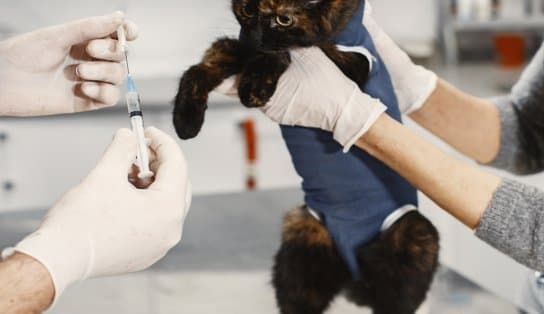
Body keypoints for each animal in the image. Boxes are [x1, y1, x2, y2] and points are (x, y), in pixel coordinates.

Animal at [172, 0, 440, 314]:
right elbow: (204, 63)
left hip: (415, 232)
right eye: (247, 11)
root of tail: (353, 271)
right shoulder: (237, 46)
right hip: (299, 242)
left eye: (284, 19)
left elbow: (286, 52)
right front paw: (185, 119)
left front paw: (254, 85)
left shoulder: (353, 67)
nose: (256, 38)